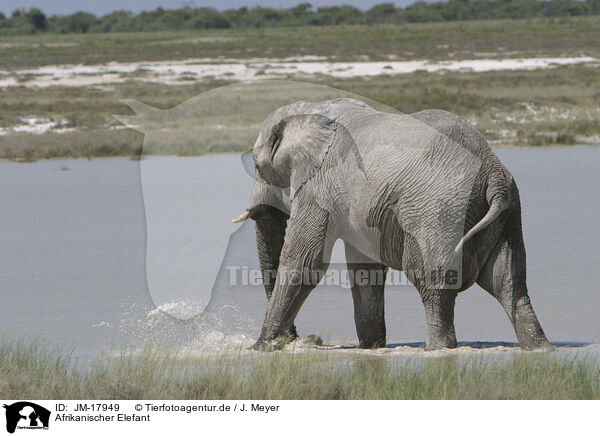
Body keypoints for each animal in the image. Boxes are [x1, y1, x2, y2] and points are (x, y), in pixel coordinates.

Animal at [232, 98, 552, 350]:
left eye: (258, 166)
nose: (296, 338)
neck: (313, 112)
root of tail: (493, 175)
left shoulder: (318, 187)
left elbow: (305, 261)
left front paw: (259, 349)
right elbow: (364, 269)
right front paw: (371, 347)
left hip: (437, 211)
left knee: (433, 285)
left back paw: (438, 349)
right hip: (508, 214)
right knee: (509, 283)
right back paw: (539, 348)